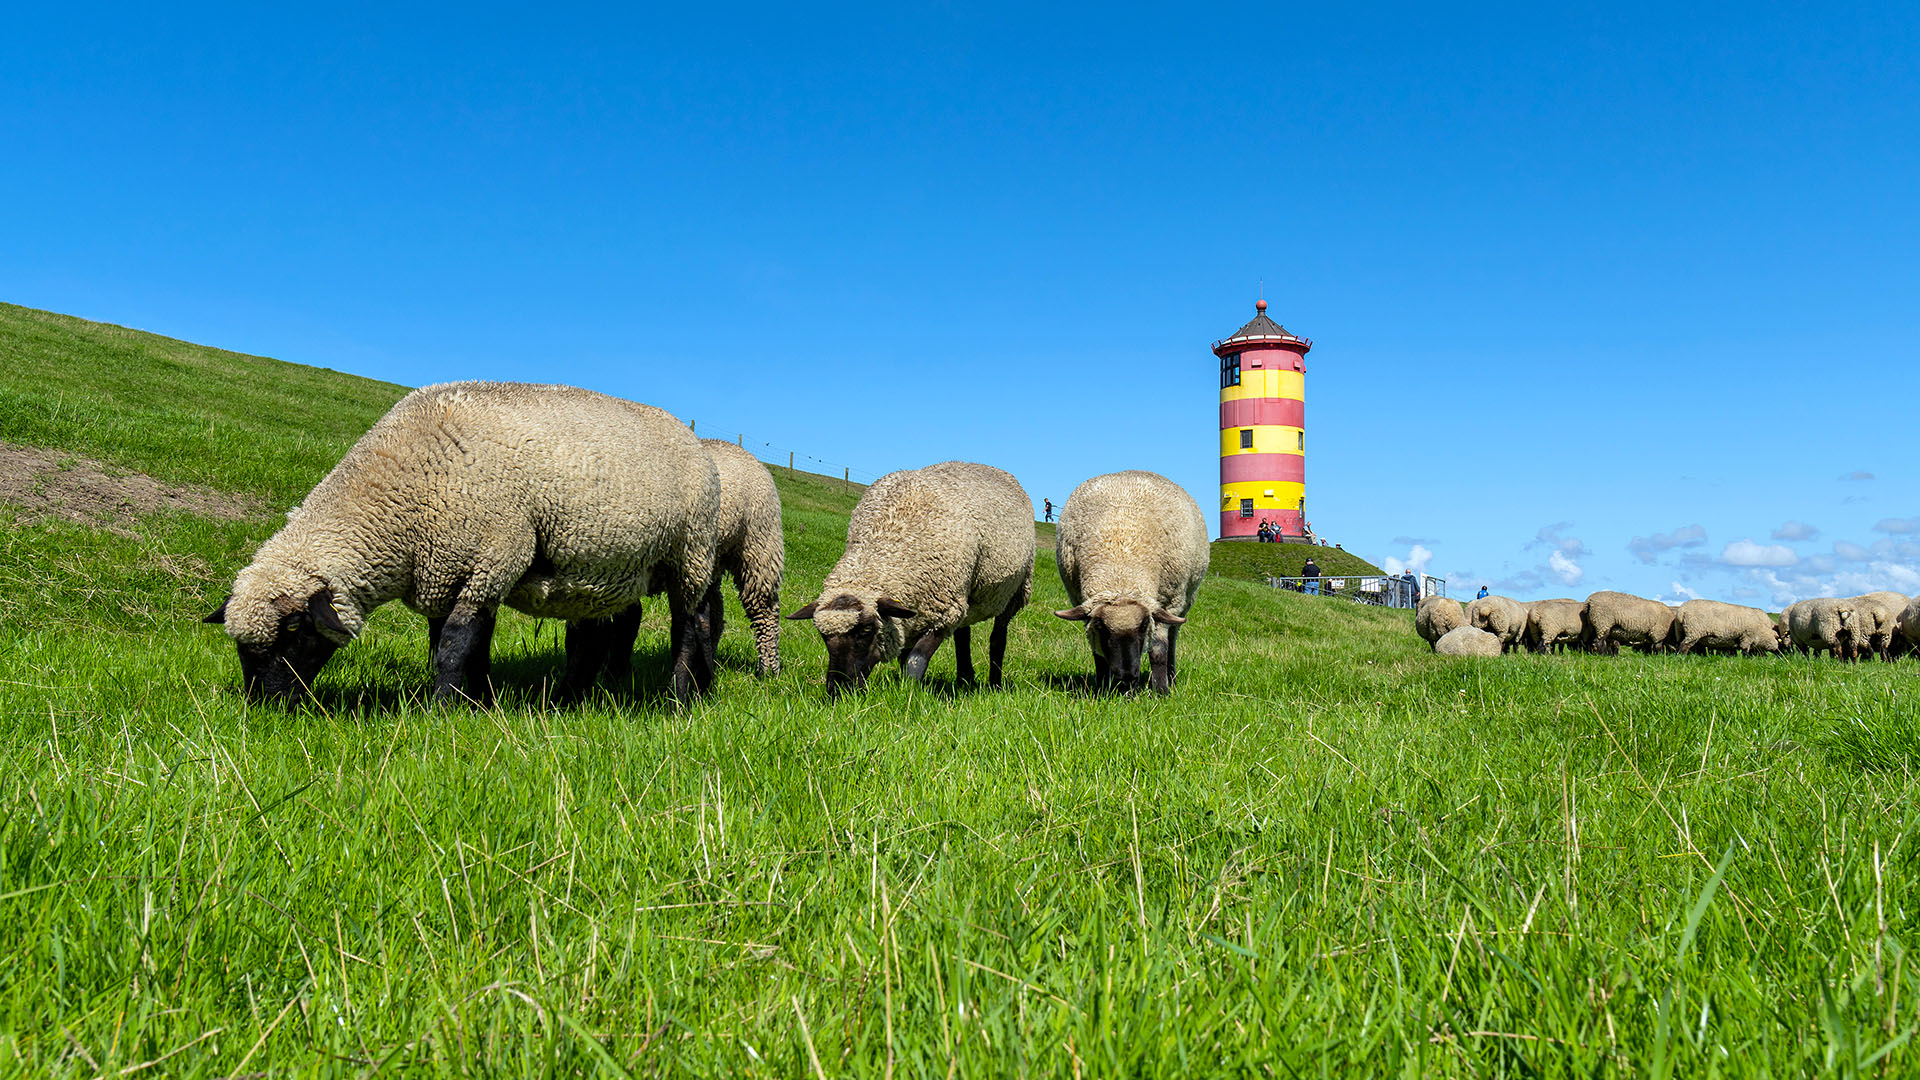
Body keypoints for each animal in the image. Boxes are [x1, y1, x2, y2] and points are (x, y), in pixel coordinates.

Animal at [204, 380, 721, 707]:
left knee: (690, 625)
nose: (266, 705)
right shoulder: (449, 569)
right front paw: (479, 702)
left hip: (690, 551)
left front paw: (443, 711)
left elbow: (457, 642)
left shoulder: (492, 557)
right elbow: (459, 643)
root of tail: (689, 433)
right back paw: (572, 698)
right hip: (604, 574)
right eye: (239, 647)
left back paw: (678, 698)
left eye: (295, 629)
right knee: (601, 634)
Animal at [787, 457, 1036, 691]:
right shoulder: (916, 610)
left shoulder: (943, 610)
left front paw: (909, 692)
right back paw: (965, 679)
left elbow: (915, 660)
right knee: (963, 636)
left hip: (1014, 592)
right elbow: (905, 656)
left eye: (867, 629)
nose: (838, 689)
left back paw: (994, 683)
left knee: (998, 639)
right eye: (823, 635)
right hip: (964, 592)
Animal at [1059, 468, 1205, 687]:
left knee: (1173, 637)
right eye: (1101, 626)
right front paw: (1103, 687)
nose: (1127, 678)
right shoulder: (1082, 605)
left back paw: (1171, 676)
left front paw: (1161, 689)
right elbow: (1098, 654)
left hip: (1183, 602)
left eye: (1144, 625)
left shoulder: (1166, 603)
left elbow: (1158, 651)